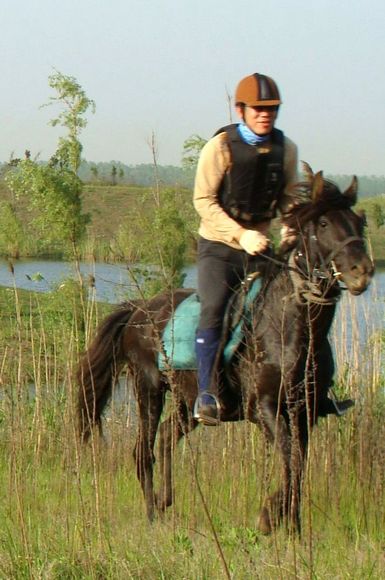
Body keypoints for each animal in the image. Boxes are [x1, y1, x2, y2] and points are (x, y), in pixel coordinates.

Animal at [75, 165, 372, 532]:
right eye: (324, 224)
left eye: (359, 223)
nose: (363, 271)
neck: (290, 330)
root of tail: (139, 310)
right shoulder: (265, 410)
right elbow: (290, 460)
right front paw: (270, 517)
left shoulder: (305, 413)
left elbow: (298, 465)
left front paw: (292, 526)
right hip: (148, 388)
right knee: (143, 450)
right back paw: (151, 513)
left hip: (188, 400)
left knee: (168, 436)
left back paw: (164, 501)